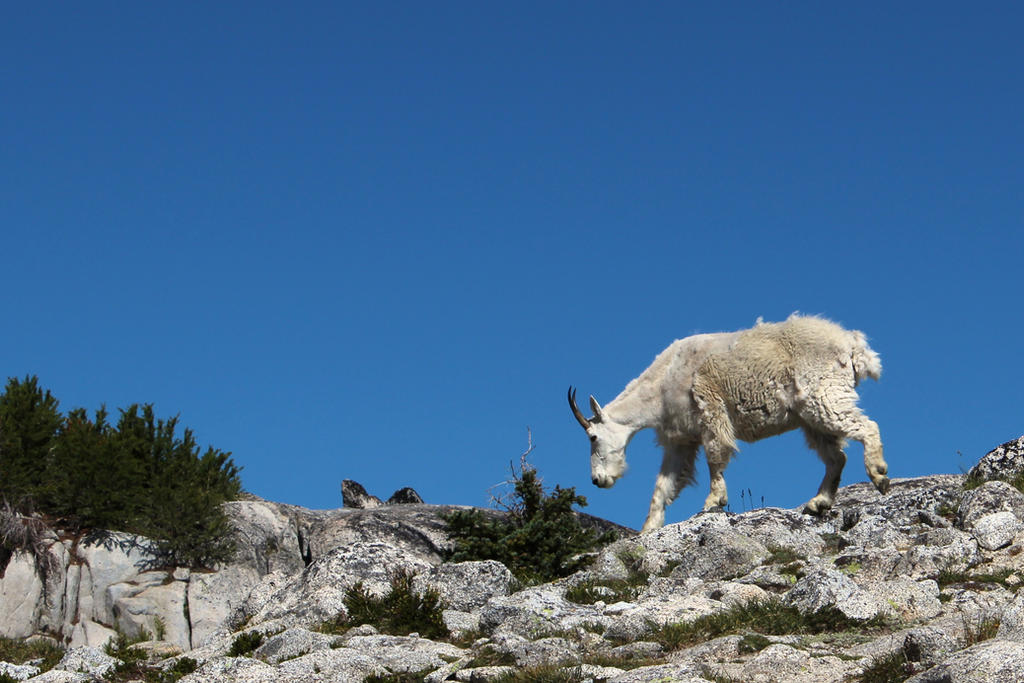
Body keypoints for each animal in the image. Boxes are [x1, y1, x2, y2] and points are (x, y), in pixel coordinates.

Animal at [569, 315, 888, 532]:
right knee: (836, 456)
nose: (597, 480)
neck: (663, 382)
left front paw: (714, 501)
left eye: (592, 437)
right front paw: (648, 530)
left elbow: (716, 455)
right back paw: (818, 502)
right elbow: (663, 486)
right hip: (810, 416)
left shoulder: (709, 408)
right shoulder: (681, 439)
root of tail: (851, 344)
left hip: (823, 393)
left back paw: (879, 474)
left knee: (866, 426)